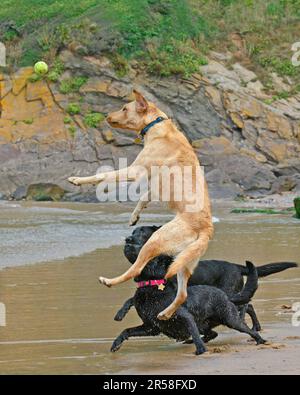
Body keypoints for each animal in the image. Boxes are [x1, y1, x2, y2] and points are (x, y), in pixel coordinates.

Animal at [111, 256, 266, 356]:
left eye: (152, 260)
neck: (151, 289)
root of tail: (226, 296)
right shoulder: (151, 327)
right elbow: (126, 331)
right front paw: (116, 344)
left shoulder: (186, 317)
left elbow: (194, 333)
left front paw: (201, 351)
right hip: (206, 324)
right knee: (212, 333)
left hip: (230, 319)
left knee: (247, 329)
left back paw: (260, 340)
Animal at [115, 226, 298, 332]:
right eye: (132, 232)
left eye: (142, 232)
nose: (128, 239)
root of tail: (236, 266)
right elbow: (130, 299)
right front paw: (120, 313)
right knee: (249, 305)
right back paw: (256, 326)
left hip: (228, 291)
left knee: (246, 305)